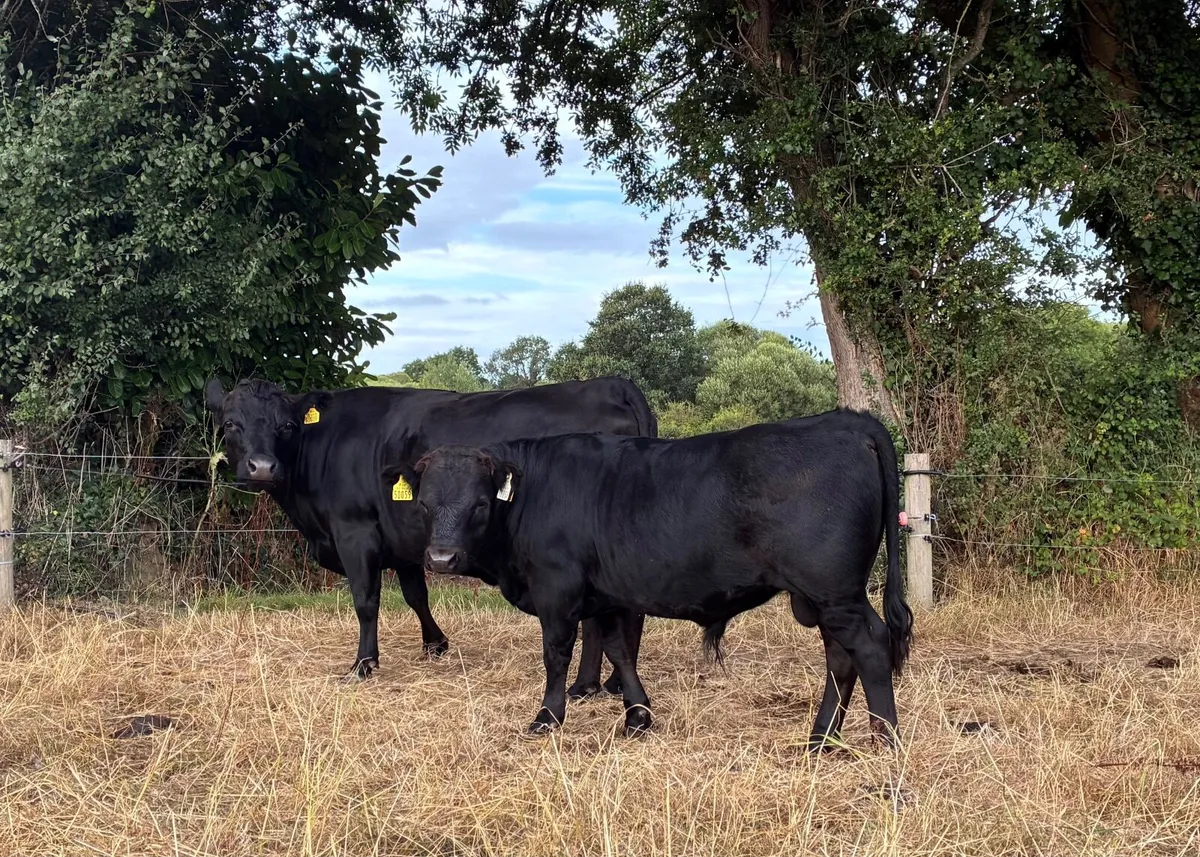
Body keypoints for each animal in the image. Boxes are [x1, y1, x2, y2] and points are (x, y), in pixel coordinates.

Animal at [204, 375, 653, 693]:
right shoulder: (404, 538)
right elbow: (415, 594)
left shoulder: (354, 532)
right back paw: (605, 683)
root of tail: (612, 383)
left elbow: (366, 602)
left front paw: (363, 665)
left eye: (285, 425)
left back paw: (587, 685)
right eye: (230, 423)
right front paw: (435, 644)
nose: (262, 468)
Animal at [391, 409, 913, 749]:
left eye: (480, 504)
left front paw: (547, 717)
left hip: (835, 592)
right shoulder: (607, 597)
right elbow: (619, 651)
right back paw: (821, 739)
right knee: (840, 658)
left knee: (869, 646)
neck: (532, 492)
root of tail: (845, 420)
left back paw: (885, 742)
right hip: (823, 597)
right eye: (425, 503)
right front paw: (637, 716)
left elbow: (557, 655)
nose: (440, 557)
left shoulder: (556, 592)